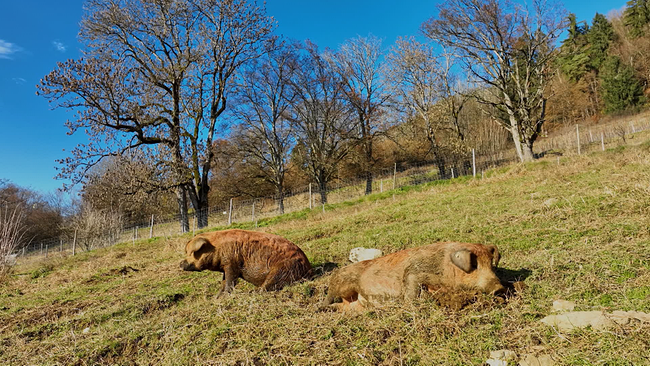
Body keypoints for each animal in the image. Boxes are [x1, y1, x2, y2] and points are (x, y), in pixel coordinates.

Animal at [178, 230, 312, 296]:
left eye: (193, 253)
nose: (180, 263)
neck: (217, 247)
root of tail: (308, 267)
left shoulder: (231, 263)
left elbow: (230, 280)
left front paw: (225, 296)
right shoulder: (225, 266)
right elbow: (224, 281)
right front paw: (216, 297)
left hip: (282, 269)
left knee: (269, 285)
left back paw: (253, 292)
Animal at [322, 242, 504, 310]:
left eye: (491, 264)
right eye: (474, 265)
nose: (499, 288)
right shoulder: (414, 273)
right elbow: (412, 290)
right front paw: (410, 304)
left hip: (354, 306)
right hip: (341, 285)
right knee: (329, 298)